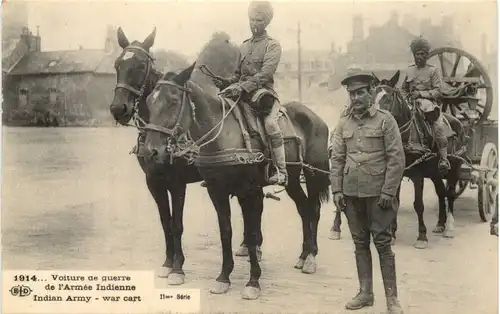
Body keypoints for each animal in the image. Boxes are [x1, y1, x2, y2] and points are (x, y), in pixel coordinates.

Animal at [143, 62, 330, 300]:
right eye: (149, 101)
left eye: (173, 101)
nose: (151, 151)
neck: (225, 135)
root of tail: (315, 117)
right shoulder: (217, 192)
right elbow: (226, 232)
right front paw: (223, 277)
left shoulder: (250, 192)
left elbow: (251, 233)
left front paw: (253, 282)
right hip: (293, 180)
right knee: (304, 209)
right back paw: (304, 255)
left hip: (314, 176)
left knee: (313, 209)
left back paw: (311, 259)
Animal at [330, 70, 466, 248]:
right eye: (372, 96)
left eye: (388, 98)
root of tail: (456, 121)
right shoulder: (397, 172)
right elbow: (394, 200)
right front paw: (392, 233)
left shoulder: (417, 174)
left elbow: (418, 204)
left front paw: (421, 236)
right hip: (435, 171)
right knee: (440, 192)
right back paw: (440, 224)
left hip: (454, 168)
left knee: (449, 193)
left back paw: (449, 227)